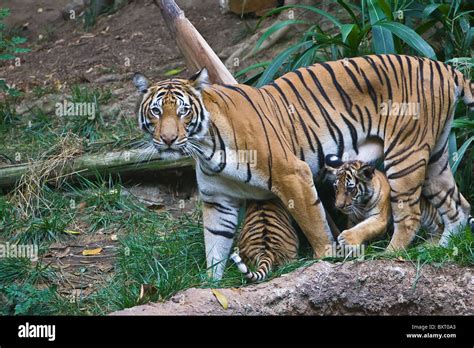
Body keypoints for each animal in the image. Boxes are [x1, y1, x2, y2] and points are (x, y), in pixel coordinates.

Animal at [134, 54, 474, 278]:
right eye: (155, 111)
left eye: (183, 111)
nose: (167, 139)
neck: (204, 145)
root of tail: (443, 66)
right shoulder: (217, 199)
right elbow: (214, 245)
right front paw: (210, 286)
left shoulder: (292, 175)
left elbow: (315, 225)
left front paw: (326, 261)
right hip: (435, 157)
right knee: (458, 208)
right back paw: (439, 250)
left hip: (405, 155)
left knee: (411, 213)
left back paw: (392, 255)